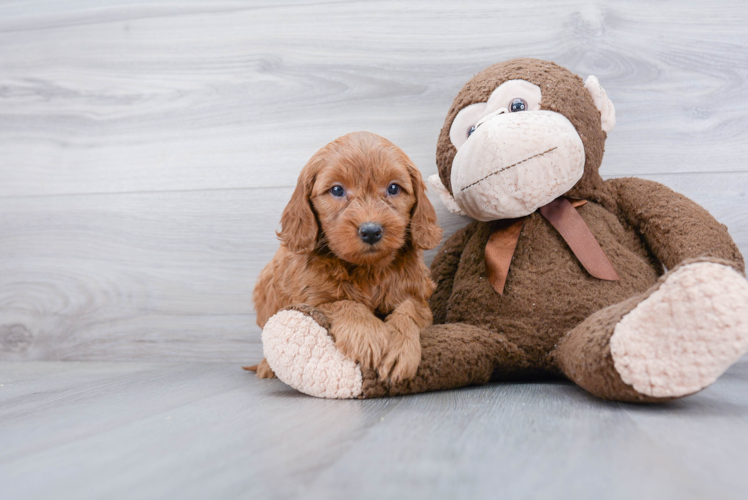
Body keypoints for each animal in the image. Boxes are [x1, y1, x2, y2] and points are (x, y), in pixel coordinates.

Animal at [251, 131, 442, 380]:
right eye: (337, 190)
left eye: (393, 188)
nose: (370, 231)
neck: (367, 269)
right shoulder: (310, 298)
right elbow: (343, 303)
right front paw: (366, 333)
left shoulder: (419, 297)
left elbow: (408, 309)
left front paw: (401, 348)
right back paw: (266, 366)